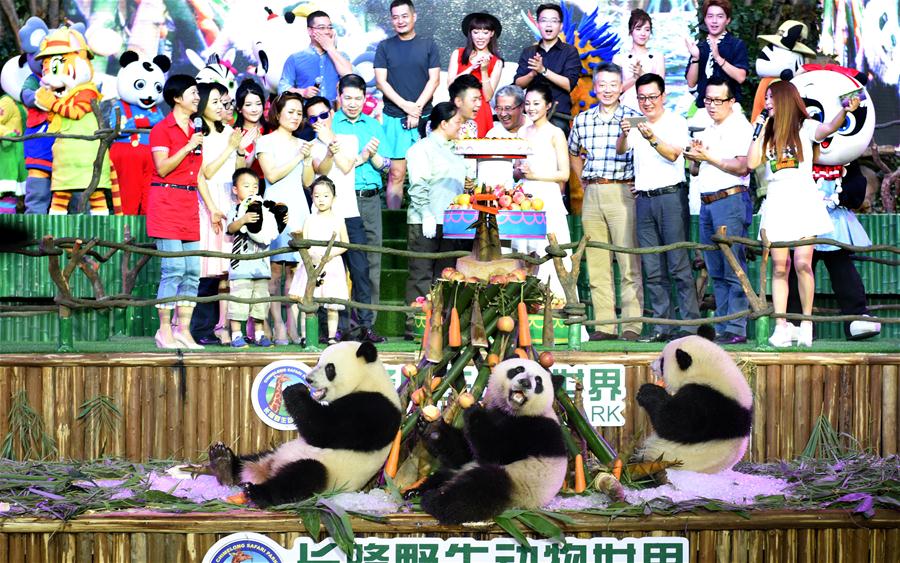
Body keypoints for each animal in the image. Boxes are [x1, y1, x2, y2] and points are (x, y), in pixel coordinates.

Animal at [209, 342, 400, 508]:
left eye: (330, 368)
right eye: (318, 361)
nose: (309, 379)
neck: (368, 379)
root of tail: (269, 470)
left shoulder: (375, 409)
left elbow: (323, 429)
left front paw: (295, 390)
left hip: (330, 473)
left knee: (303, 476)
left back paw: (256, 492)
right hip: (273, 453)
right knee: (251, 459)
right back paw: (223, 462)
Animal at [406, 360, 564, 528]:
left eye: (539, 381)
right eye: (518, 369)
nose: (526, 382)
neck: (511, 411)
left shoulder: (538, 429)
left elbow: (496, 452)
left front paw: (474, 411)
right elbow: (464, 453)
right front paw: (431, 428)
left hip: (520, 482)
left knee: (478, 490)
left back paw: (434, 501)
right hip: (460, 471)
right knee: (443, 475)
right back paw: (415, 492)